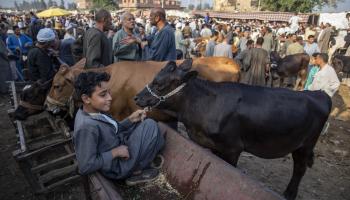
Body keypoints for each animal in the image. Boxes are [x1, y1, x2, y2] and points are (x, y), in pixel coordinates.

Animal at [135, 59, 332, 200]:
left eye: (159, 84)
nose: (137, 97)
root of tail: (319, 94)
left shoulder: (232, 148)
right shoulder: (213, 145)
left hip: (304, 146)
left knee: (299, 169)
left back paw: (289, 194)